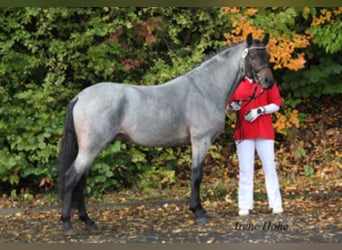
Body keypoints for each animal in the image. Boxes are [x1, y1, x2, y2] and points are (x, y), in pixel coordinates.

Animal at [57, 32, 274, 235]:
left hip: (90, 150)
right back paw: (68, 224)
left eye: (267, 55)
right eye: (253, 56)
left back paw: (88, 221)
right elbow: (196, 176)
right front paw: (198, 212)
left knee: (80, 182)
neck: (205, 89)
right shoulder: (200, 141)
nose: (268, 82)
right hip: (90, 149)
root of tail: (79, 97)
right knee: (71, 178)